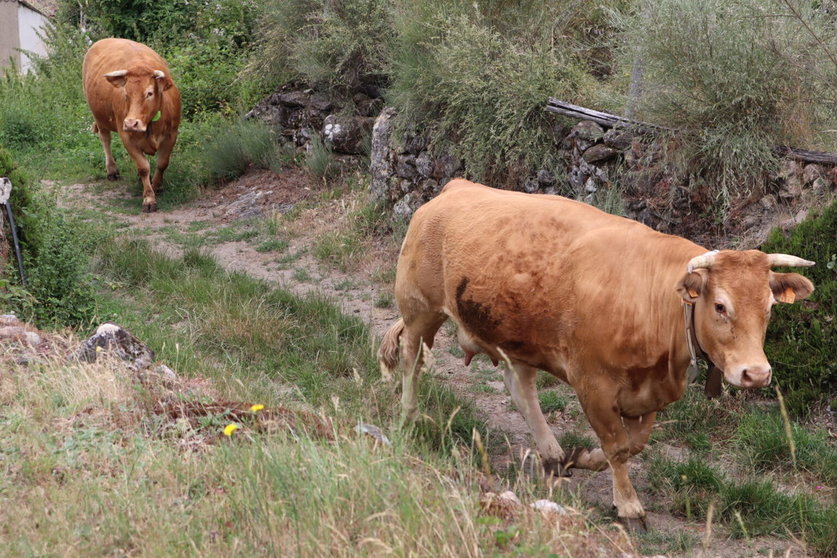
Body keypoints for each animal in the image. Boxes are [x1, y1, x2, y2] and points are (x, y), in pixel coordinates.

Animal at [81, 37, 181, 212]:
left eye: (149, 93)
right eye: (126, 94)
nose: (131, 123)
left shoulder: (172, 135)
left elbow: (162, 163)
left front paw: (157, 185)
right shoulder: (127, 137)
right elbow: (143, 167)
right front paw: (149, 198)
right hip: (99, 118)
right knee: (105, 139)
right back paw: (112, 170)